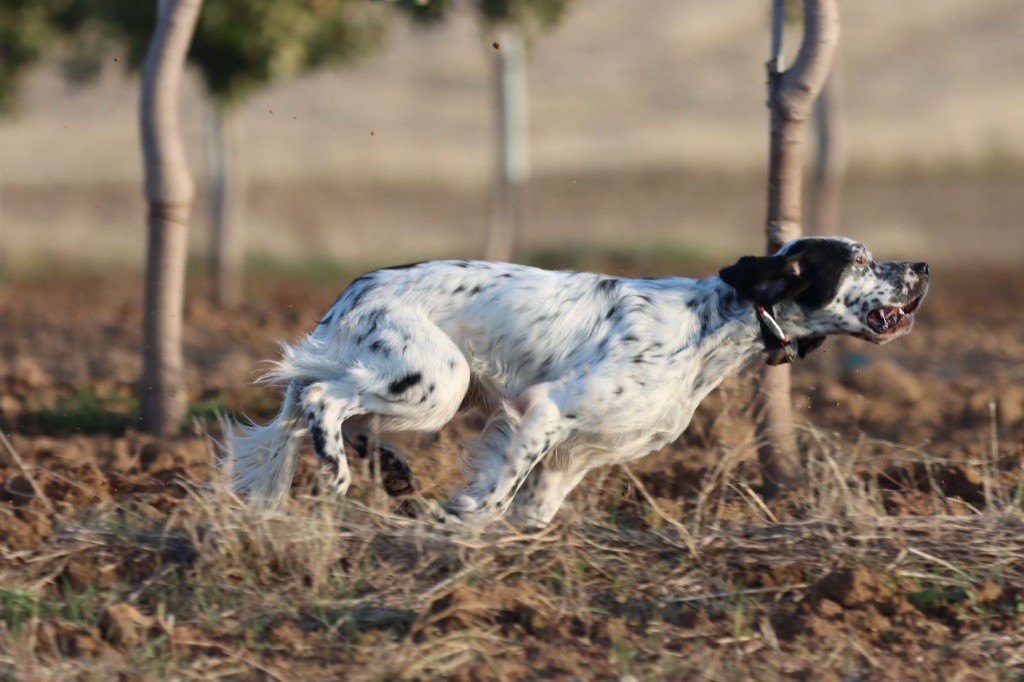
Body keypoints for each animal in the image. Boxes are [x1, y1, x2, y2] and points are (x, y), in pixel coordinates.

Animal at [224, 236, 929, 522]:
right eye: (860, 260)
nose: (922, 267)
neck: (710, 325)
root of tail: (355, 286)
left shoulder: (586, 447)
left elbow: (536, 507)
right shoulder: (547, 409)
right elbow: (500, 493)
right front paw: (463, 520)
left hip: (411, 384)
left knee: (331, 411)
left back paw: (387, 471)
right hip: (437, 381)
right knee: (322, 399)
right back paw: (338, 474)